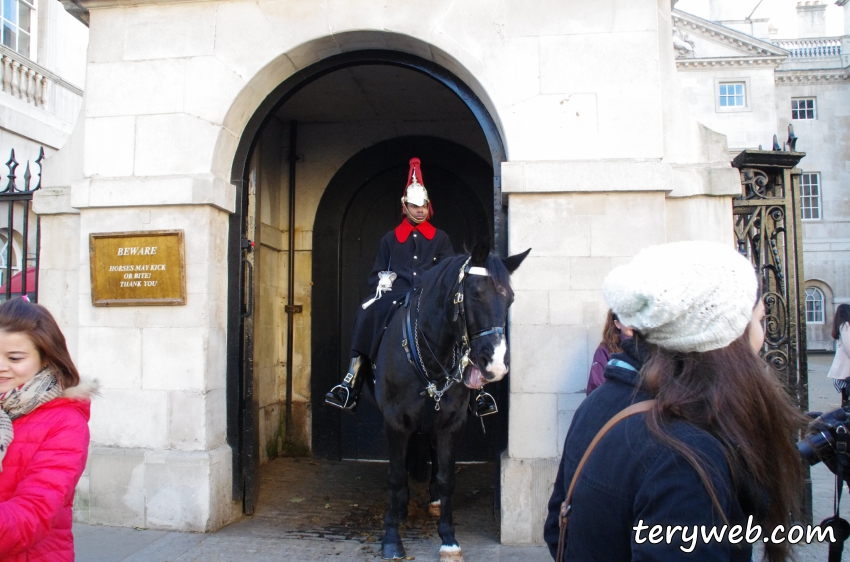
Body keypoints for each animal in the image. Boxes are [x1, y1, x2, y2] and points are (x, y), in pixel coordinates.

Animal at [372, 238, 528, 556]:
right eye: (476, 293)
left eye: (510, 299)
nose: (495, 365)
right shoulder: (395, 422)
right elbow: (395, 476)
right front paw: (392, 536)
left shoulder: (451, 423)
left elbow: (446, 479)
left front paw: (448, 538)